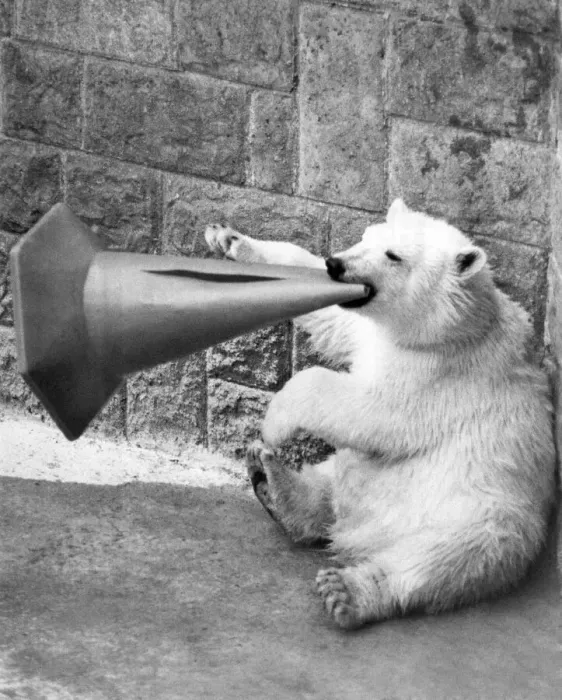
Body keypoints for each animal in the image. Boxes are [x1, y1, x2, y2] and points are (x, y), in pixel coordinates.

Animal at [205, 199, 556, 630]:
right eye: (366, 237)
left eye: (393, 255)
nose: (336, 264)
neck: (453, 327)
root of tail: (363, 534)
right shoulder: (370, 331)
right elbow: (330, 319)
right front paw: (229, 239)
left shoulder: (439, 373)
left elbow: (376, 414)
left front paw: (275, 420)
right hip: (358, 481)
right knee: (329, 481)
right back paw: (271, 480)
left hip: (485, 514)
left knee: (446, 557)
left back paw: (347, 591)